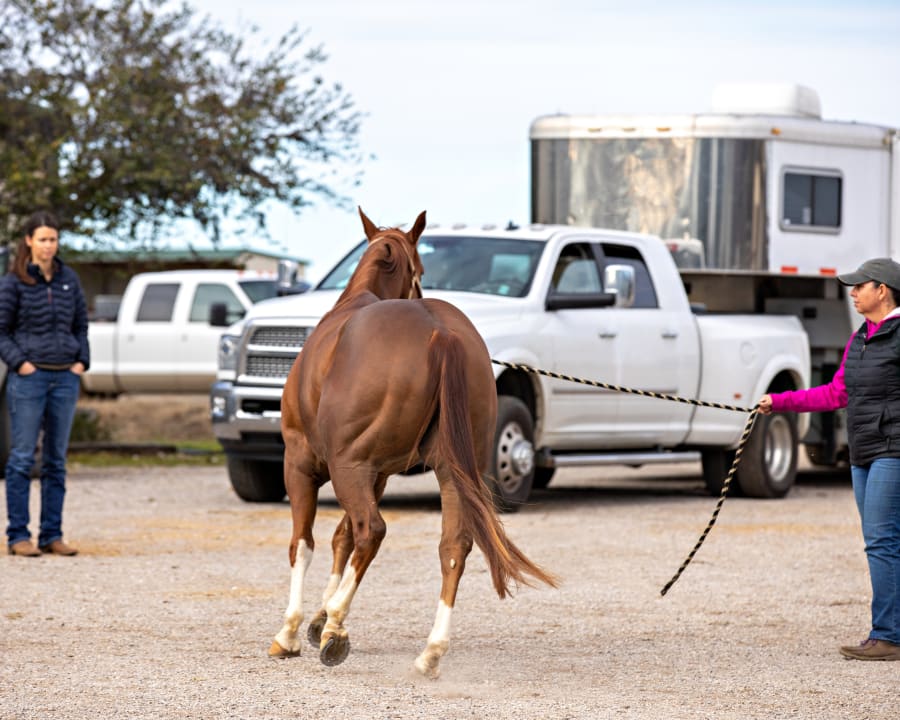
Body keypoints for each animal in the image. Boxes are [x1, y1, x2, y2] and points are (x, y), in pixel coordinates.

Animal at [268, 210, 556, 680]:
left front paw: (295, 629)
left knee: (372, 530)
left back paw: (337, 629)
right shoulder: (379, 474)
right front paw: (319, 617)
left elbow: (305, 543)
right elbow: (341, 537)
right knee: (453, 546)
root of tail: (440, 333)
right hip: (452, 471)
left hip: (348, 469)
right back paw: (430, 651)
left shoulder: (303, 464)